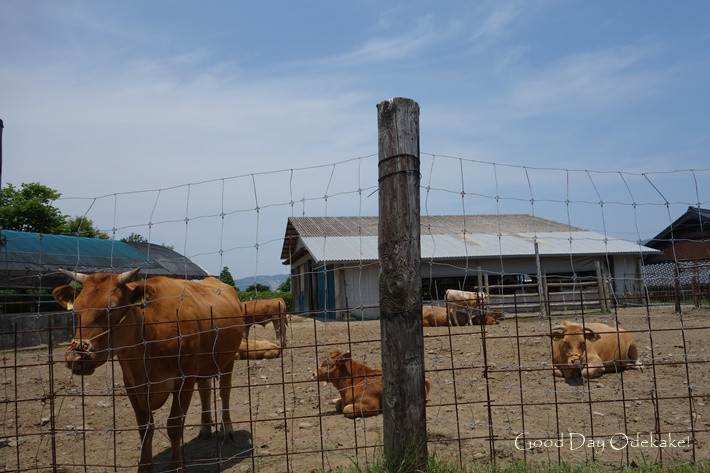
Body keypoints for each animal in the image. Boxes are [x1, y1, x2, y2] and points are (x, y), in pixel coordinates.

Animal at [52, 270, 245, 472]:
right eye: (75, 311)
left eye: (111, 308)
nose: (75, 356)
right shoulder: (131, 385)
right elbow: (144, 427)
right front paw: (144, 467)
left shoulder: (185, 380)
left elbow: (174, 426)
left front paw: (176, 466)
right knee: (205, 390)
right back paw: (205, 428)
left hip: (227, 360)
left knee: (224, 391)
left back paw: (228, 429)